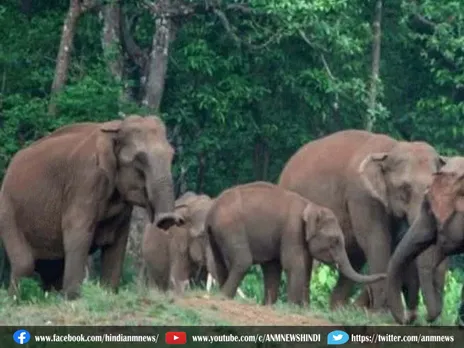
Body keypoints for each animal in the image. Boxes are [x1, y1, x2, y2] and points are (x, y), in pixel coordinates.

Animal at [0, 114, 181, 300]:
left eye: (172, 155)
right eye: (139, 159)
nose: (168, 219)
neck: (115, 129)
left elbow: (117, 243)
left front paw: (108, 293)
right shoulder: (85, 183)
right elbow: (77, 235)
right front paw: (73, 298)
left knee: (51, 269)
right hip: (7, 209)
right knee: (24, 264)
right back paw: (15, 300)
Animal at [205, 181, 386, 306]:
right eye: (335, 240)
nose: (384, 275)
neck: (311, 205)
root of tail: (212, 210)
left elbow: (280, 267)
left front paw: (295, 307)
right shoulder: (292, 230)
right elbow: (293, 264)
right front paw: (292, 307)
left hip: (216, 234)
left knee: (219, 263)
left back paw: (222, 294)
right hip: (231, 228)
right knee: (242, 261)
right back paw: (224, 297)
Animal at [278, 129, 448, 314]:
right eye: (404, 188)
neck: (391, 149)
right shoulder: (362, 196)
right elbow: (377, 242)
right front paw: (380, 313)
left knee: (354, 259)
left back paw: (339, 309)